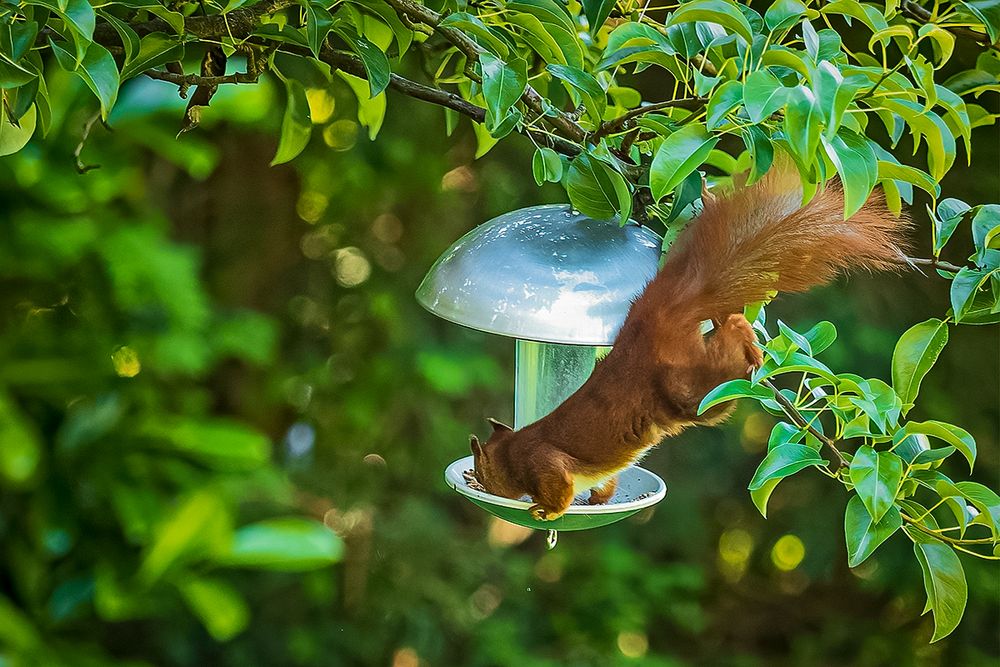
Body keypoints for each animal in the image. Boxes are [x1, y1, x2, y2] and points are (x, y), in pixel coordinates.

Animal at [468, 168, 908, 520]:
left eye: (480, 467)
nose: (475, 479)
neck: (516, 450)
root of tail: (656, 318)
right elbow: (606, 483)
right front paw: (596, 501)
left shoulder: (546, 463)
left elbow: (559, 491)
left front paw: (546, 511)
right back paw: (738, 324)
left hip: (687, 388)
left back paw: (748, 344)